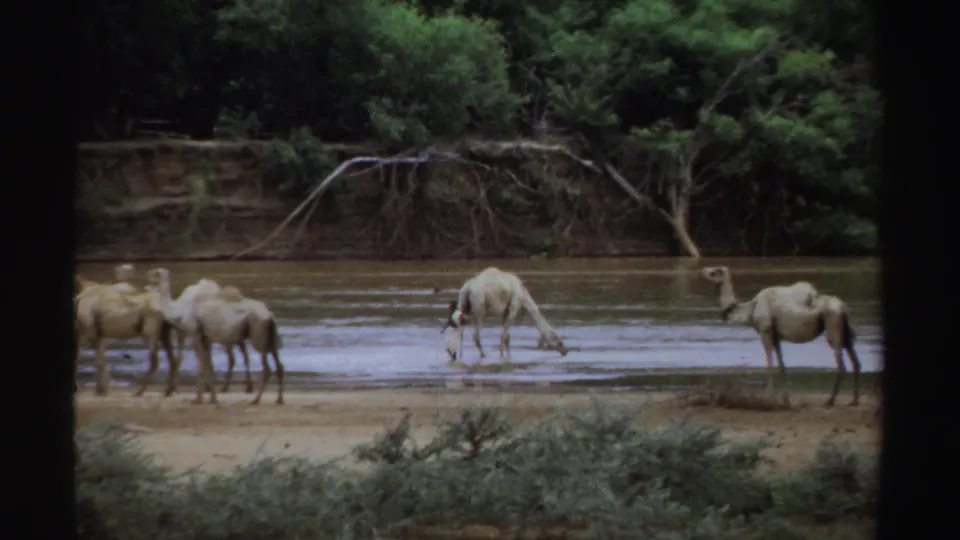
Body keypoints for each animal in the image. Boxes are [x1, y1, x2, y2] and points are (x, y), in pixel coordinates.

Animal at [698, 266, 862, 407]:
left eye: (715, 271)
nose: (703, 270)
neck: (750, 310)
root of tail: (842, 307)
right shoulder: (776, 336)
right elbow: (782, 366)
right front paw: (786, 401)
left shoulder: (765, 332)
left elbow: (770, 366)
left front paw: (768, 399)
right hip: (844, 331)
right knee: (855, 360)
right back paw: (854, 400)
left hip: (832, 323)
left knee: (841, 363)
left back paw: (830, 401)